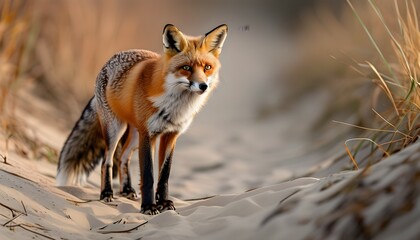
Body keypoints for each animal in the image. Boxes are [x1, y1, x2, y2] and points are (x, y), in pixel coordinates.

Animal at [55, 24, 228, 215]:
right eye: (187, 68)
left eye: (207, 67)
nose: (203, 86)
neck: (175, 107)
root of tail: (108, 62)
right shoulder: (148, 134)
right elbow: (149, 175)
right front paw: (148, 206)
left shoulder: (171, 135)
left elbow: (164, 175)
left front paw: (164, 203)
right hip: (116, 129)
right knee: (107, 160)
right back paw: (106, 192)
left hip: (134, 136)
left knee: (123, 158)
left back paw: (126, 190)